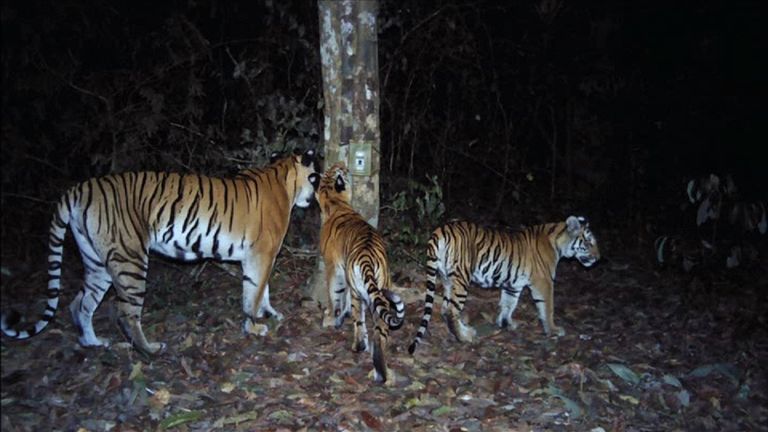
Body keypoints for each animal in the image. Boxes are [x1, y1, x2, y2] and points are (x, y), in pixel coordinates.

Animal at [0, 148, 318, 354]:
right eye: (315, 176)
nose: (314, 198)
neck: (282, 178)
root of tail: (77, 189)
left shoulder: (258, 257)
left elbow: (261, 290)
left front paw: (269, 314)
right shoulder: (261, 254)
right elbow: (254, 292)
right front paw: (254, 326)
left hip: (96, 262)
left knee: (80, 304)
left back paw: (93, 343)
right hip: (130, 258)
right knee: (125, 311)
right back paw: (150, 349)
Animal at [308, 163, 404, 384]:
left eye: (339, 170)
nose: (343, 164)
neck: (335, 202)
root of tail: (368, 257)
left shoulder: (334, 268)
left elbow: (335, 296)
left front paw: (332, 318)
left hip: (357, 291)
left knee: (359, 321)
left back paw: (359, 347)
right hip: (382, 288)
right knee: (380, 330)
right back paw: (380, 368)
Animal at [408, 216, 600, 354]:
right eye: (588, 242)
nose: (598, 258)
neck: (559, 242)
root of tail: (441, 230)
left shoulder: (513, 284)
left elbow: (509, 304)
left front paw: (506, 324)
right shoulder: (543, 281)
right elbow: (547, 307)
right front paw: (553, 330)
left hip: (447, 279)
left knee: (446, 308)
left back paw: (465, 331)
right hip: (462, 277)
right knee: (451, 310)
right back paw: (464, 338)